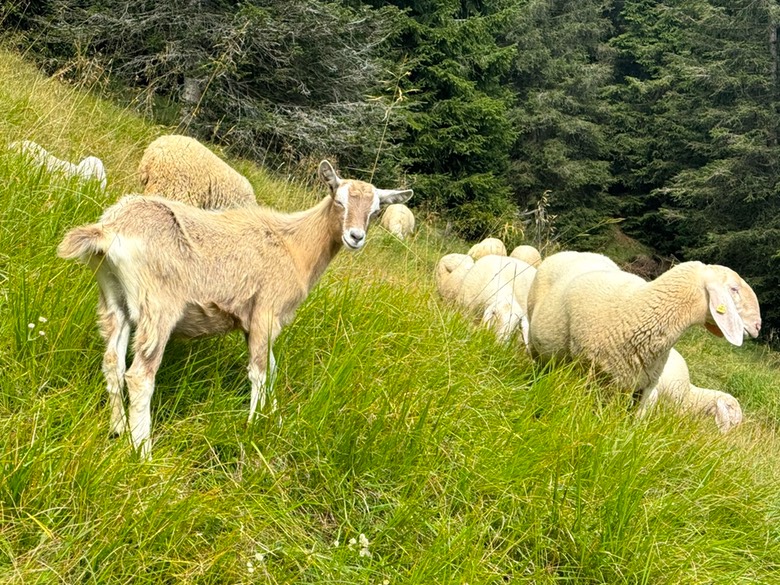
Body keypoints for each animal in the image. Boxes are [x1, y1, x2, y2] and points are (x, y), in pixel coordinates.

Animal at [59, 159, 414, 456]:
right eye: (339, 200)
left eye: (375, 210)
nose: (356, 237)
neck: (295, 245)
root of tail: (109, 230)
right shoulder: (266, 314)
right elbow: (259, 373)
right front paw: (254, 427)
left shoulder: (252, 323)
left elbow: (271, 370)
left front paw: (275, 419)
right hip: (158, 306)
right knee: (140, 375)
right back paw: (143, 450)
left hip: (114, 299)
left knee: (112, 363)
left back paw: (118, 429)